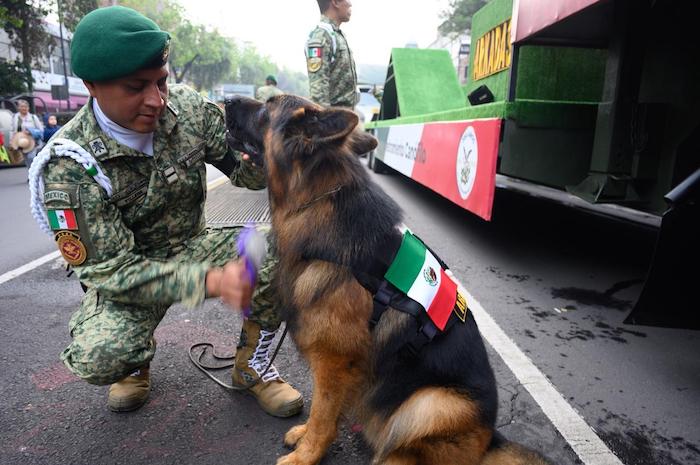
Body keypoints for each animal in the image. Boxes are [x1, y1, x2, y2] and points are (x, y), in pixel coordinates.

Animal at [227, 95, 548, 464]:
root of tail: (489, 440)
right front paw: (306, 437)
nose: (226, 99)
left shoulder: (334, 362)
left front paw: (307, 455)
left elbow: (323, 413)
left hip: (432, 403)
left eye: (266, 108)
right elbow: (324, 411)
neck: (316, 199)